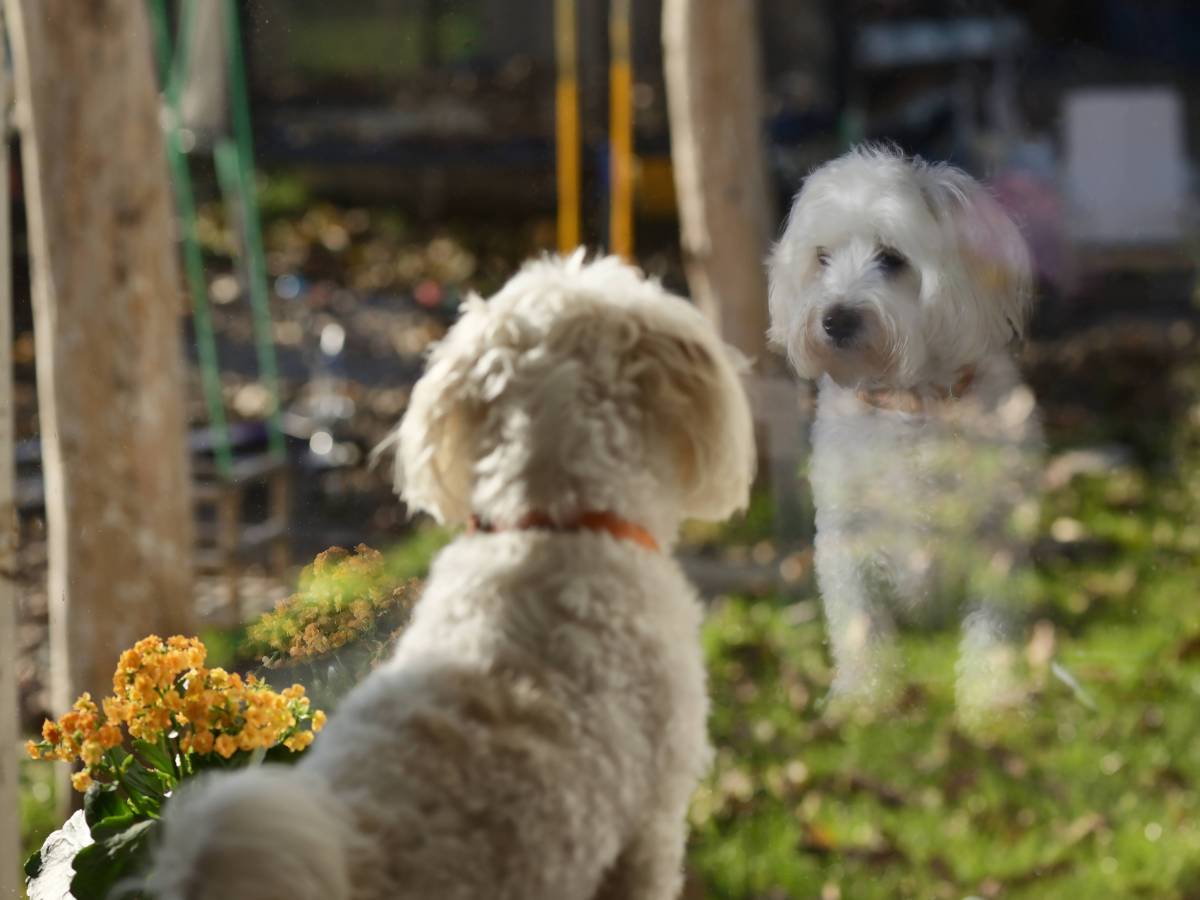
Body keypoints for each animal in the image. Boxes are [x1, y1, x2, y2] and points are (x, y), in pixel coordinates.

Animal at [768, 148, 1041, 720]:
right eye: (821, 257)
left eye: (892, 259)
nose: (835, 319)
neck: (911, 403)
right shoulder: (847, 535)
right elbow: (860, 624)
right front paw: (864, 697)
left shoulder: (996, 541)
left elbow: (992, 629)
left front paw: (992, 699)